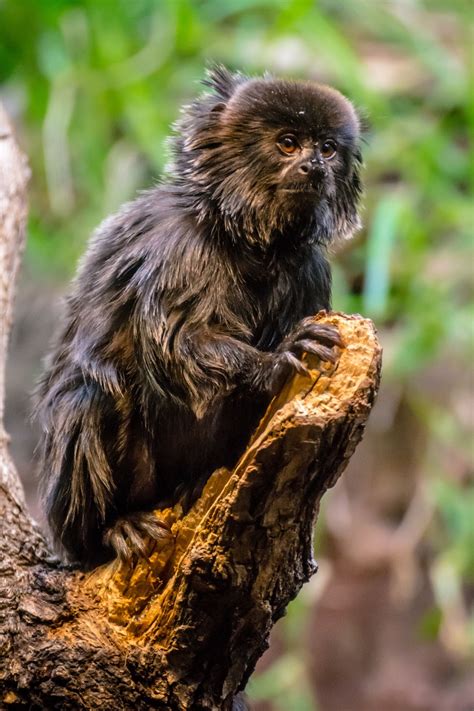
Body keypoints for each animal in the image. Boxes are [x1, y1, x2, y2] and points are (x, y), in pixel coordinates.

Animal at [34, 65, 362, 568]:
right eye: (288, 143)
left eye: (327, 148)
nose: (315, 167)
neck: (247, 242)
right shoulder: (180, 248)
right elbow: (173, 344)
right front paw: (277, 360)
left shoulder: (310, 271)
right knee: (94, 393)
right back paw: (111, 529)